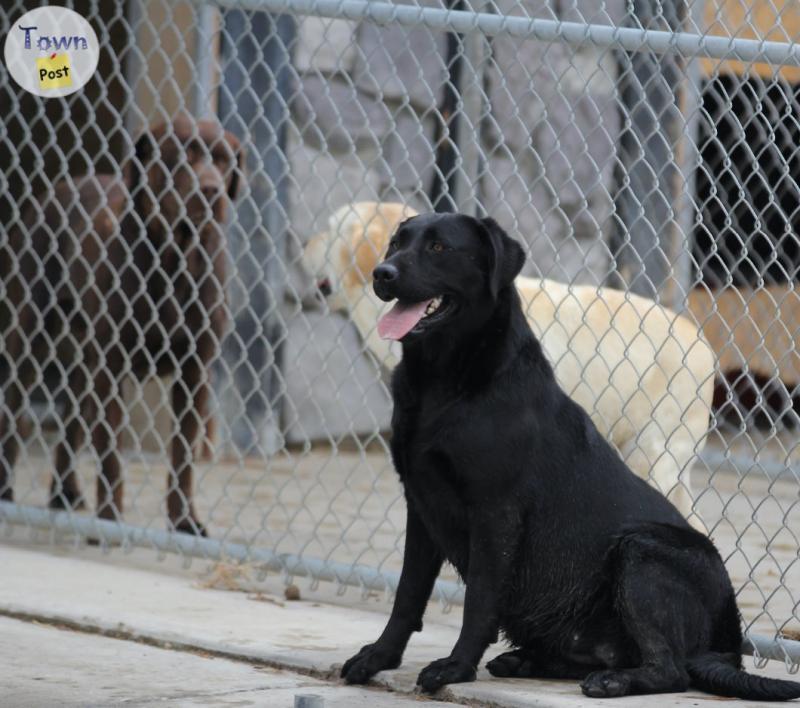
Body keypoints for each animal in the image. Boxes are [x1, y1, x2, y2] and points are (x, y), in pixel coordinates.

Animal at [340, 213, 800, 700]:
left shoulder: (495, 512)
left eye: (439, 248)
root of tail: (728, 643)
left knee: (670, 670)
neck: (443, 382)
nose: (382, 274)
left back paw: (612, 681)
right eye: (396, 243)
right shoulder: (421, 503)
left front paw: (456, 667)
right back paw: (527, 660)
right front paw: (378, 658)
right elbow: (407, 595)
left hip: (643, 551)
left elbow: (478, 599)